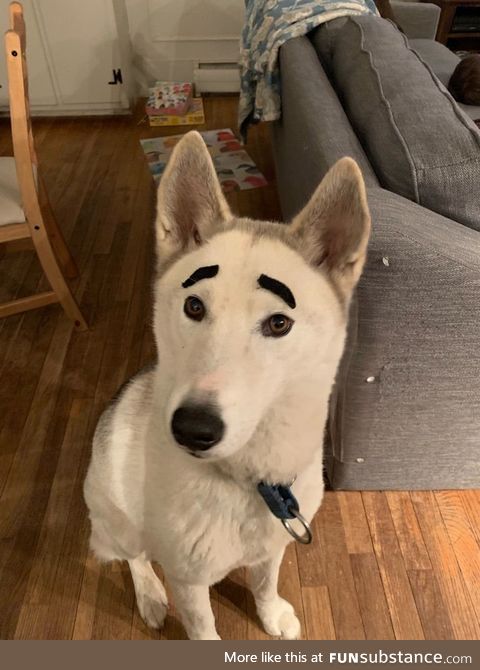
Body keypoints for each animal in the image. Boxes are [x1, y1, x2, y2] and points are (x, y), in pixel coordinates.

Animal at [83, 130, 372, 640]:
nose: (192, 429)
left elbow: (264, 580)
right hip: (117, 519)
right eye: (194, 306)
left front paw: (270, 612)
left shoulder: (275, 543)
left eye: (279, 322)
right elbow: (202, 627)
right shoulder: (189, 581)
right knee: (135, 555)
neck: (250, 481)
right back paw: (150, 595)